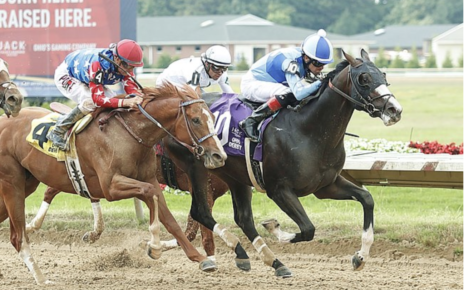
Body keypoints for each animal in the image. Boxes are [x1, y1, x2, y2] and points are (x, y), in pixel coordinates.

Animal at [0, 82, 227, 284]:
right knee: (18, 237)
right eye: (196, 120)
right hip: (12, 183)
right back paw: (41, 277)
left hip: (27, 183)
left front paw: (201, 259)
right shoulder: (111, 186)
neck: (130, 134)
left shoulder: (149, 179)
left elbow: (169, 219)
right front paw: (154, 245)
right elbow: (150, 193)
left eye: (212, 117)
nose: (219, 155)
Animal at [162, 49, 402, 276]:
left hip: (235, 176)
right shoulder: (279, 190)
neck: (309, 131)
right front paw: (274, 228)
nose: (395, 110)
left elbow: (366, 199)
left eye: (383, 75)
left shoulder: (326, 186)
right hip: (199, 169)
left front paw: (360, 257)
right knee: (201, 212)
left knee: (242, 218)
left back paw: (261, 260)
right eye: (364, 78)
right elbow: (308, 229)